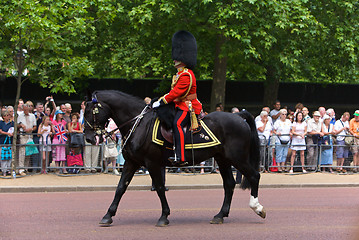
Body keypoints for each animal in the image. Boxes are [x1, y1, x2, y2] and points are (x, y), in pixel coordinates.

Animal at [83, 90, 264, 227]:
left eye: (89, 111)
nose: (89, 138)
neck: (138, 125)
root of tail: (239, 116)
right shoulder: (132, 162)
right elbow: (121, 188)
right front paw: (108, 215)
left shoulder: (152, 163)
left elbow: (160, 188)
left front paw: (164, 216)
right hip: (223, 159)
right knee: (229, 184)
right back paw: (220, 215)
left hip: (237, 158)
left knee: (254, 176)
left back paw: (257, 207)